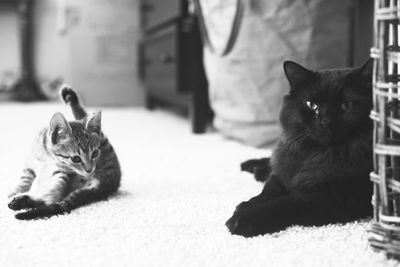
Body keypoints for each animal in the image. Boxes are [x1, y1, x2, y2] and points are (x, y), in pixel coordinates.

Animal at [7, 86, 120, 220]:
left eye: (95, 154)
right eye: (76, 159)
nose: (89, 170)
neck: (47, 157)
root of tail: (108, 183)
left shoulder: (61, 173)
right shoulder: (30, 164)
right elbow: (24, 179)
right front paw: (15, 190)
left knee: (49, 201)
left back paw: (22, 202)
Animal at [227, 59, 374, 238]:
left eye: (346, 105)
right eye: (311, 105)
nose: (325, 121)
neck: (317, 155)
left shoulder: (335, 197)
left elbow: (284, 203)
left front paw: (241, 219)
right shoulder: (283, 175)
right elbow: (267, 191)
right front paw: (245, 205)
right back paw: (251, 166)